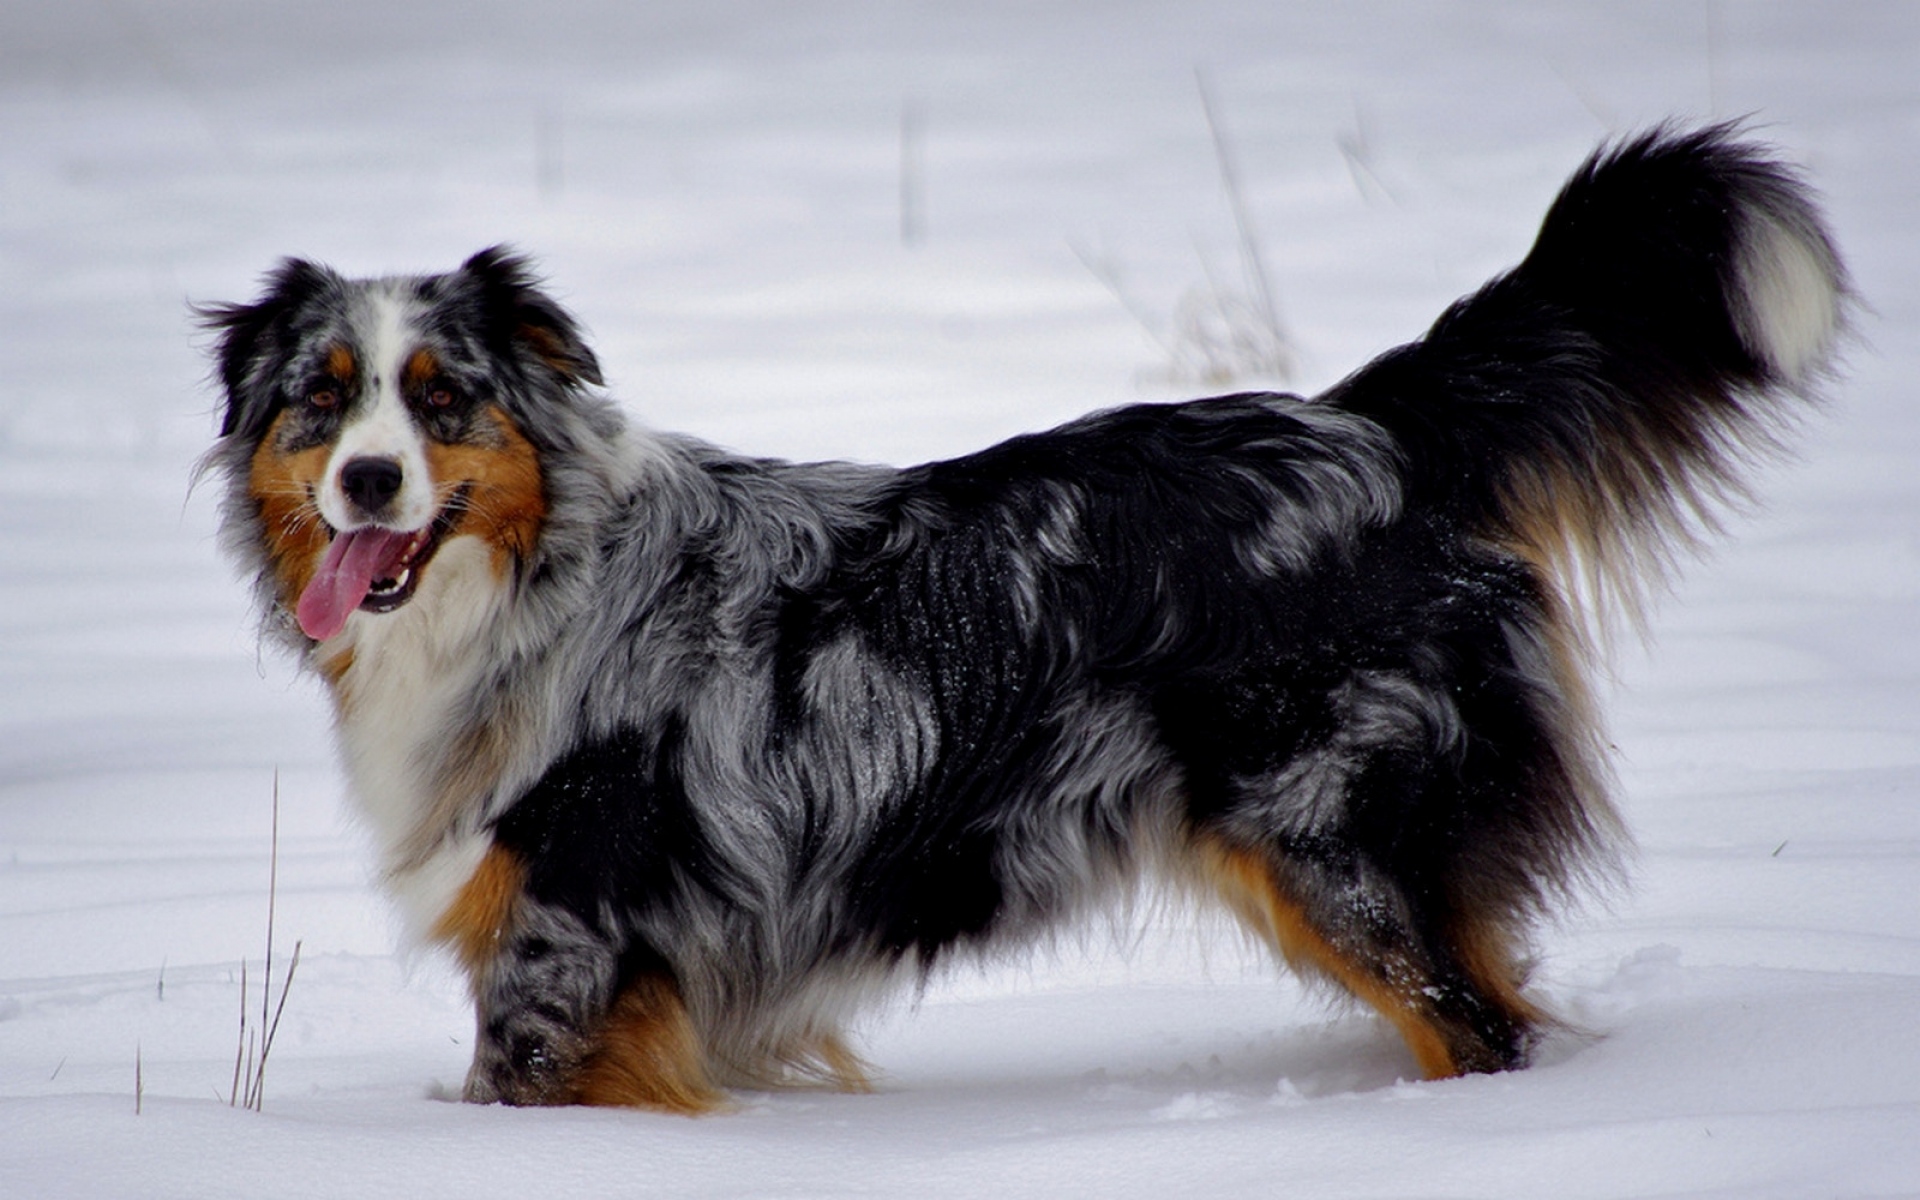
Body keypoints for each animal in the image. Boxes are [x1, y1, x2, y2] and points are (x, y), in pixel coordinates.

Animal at [198, 126, 1843, 1105]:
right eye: (320, 399)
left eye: (443, 398)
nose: (365, 481)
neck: (538, 584)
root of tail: (1364, 423)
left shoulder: (564, 945)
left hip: (1336, 840)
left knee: (1477, 1028)